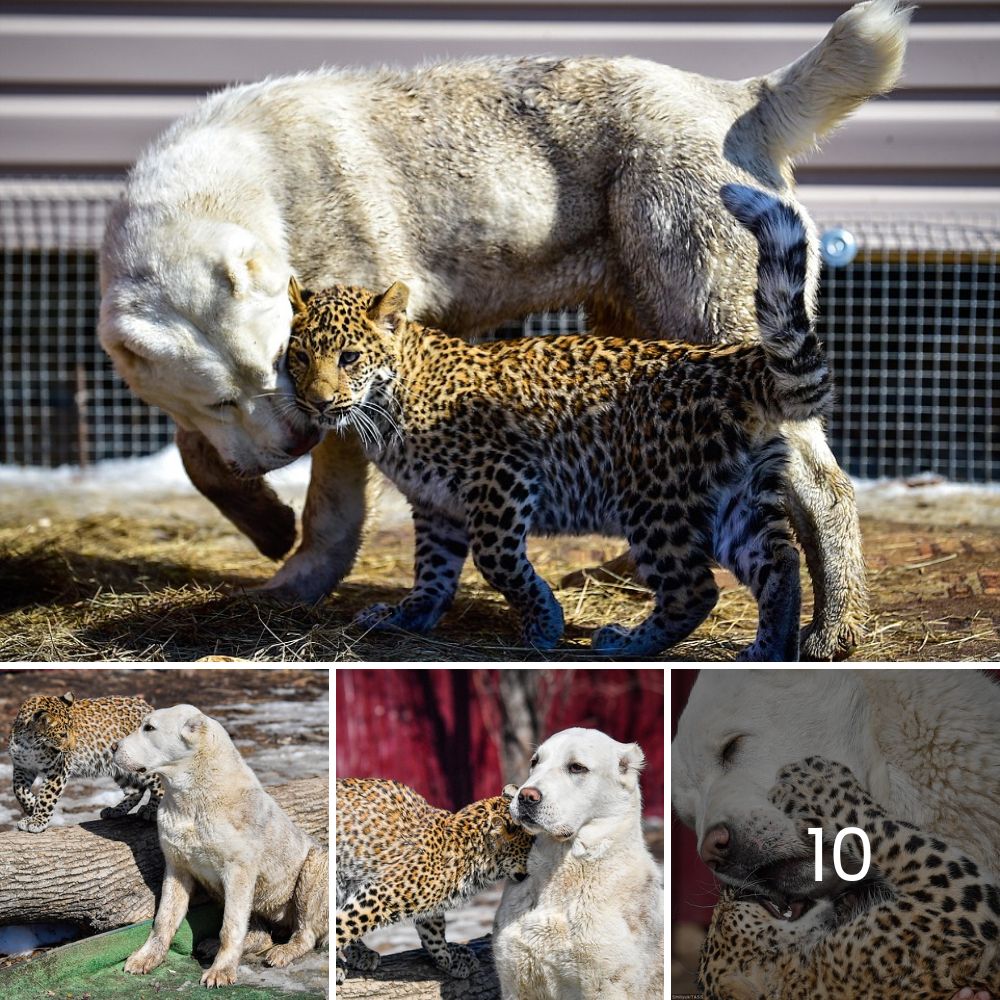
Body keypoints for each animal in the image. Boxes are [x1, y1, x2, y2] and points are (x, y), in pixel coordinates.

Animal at [95, 1, 916, 664]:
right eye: (221, 397)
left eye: (278, 368)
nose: (295, 441)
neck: (252, 188)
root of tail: (735, 96)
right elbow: (200, 457)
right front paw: (265, 521)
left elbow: (331, 507)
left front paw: (296, 579)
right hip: (637, 324)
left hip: (711, 307)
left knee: (822, 484)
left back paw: (834, 629)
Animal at [112, 708, 328, 988]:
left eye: (149, 728)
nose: (113, 747)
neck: (190, 797)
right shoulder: (177, 868)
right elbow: (164, 919)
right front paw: (147, 957)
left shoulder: (238, 872)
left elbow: (231, 926)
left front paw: (221, 971)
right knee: (261, 934)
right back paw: (215, 946)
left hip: (314, 868)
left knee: (306, 932)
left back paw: (283, 951)